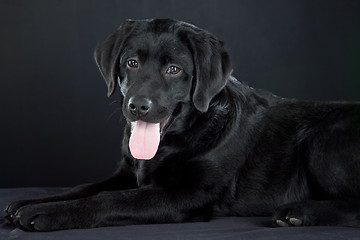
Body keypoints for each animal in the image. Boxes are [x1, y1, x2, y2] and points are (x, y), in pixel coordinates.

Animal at [3, 18, 360, 231]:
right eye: (131, 62)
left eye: (174, 69)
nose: (137, 106)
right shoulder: (126, 172)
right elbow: (84, 187)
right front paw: (27, 203)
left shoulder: (187, 194)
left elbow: (111, 199)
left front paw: (48, 213)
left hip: (322, 139)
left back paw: (298, 212)